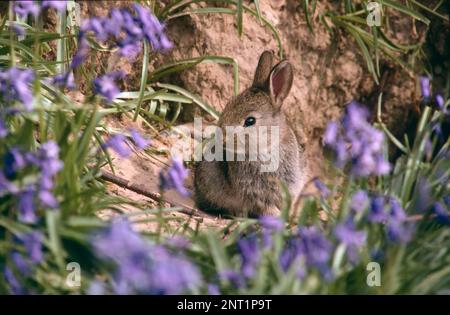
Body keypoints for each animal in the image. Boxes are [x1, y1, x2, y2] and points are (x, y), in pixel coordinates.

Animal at [193, 50, 306, 218]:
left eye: (250, 121)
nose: (222, 140)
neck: (268, 145)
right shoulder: (254, 190)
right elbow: (265, 206)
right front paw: (277, 216)